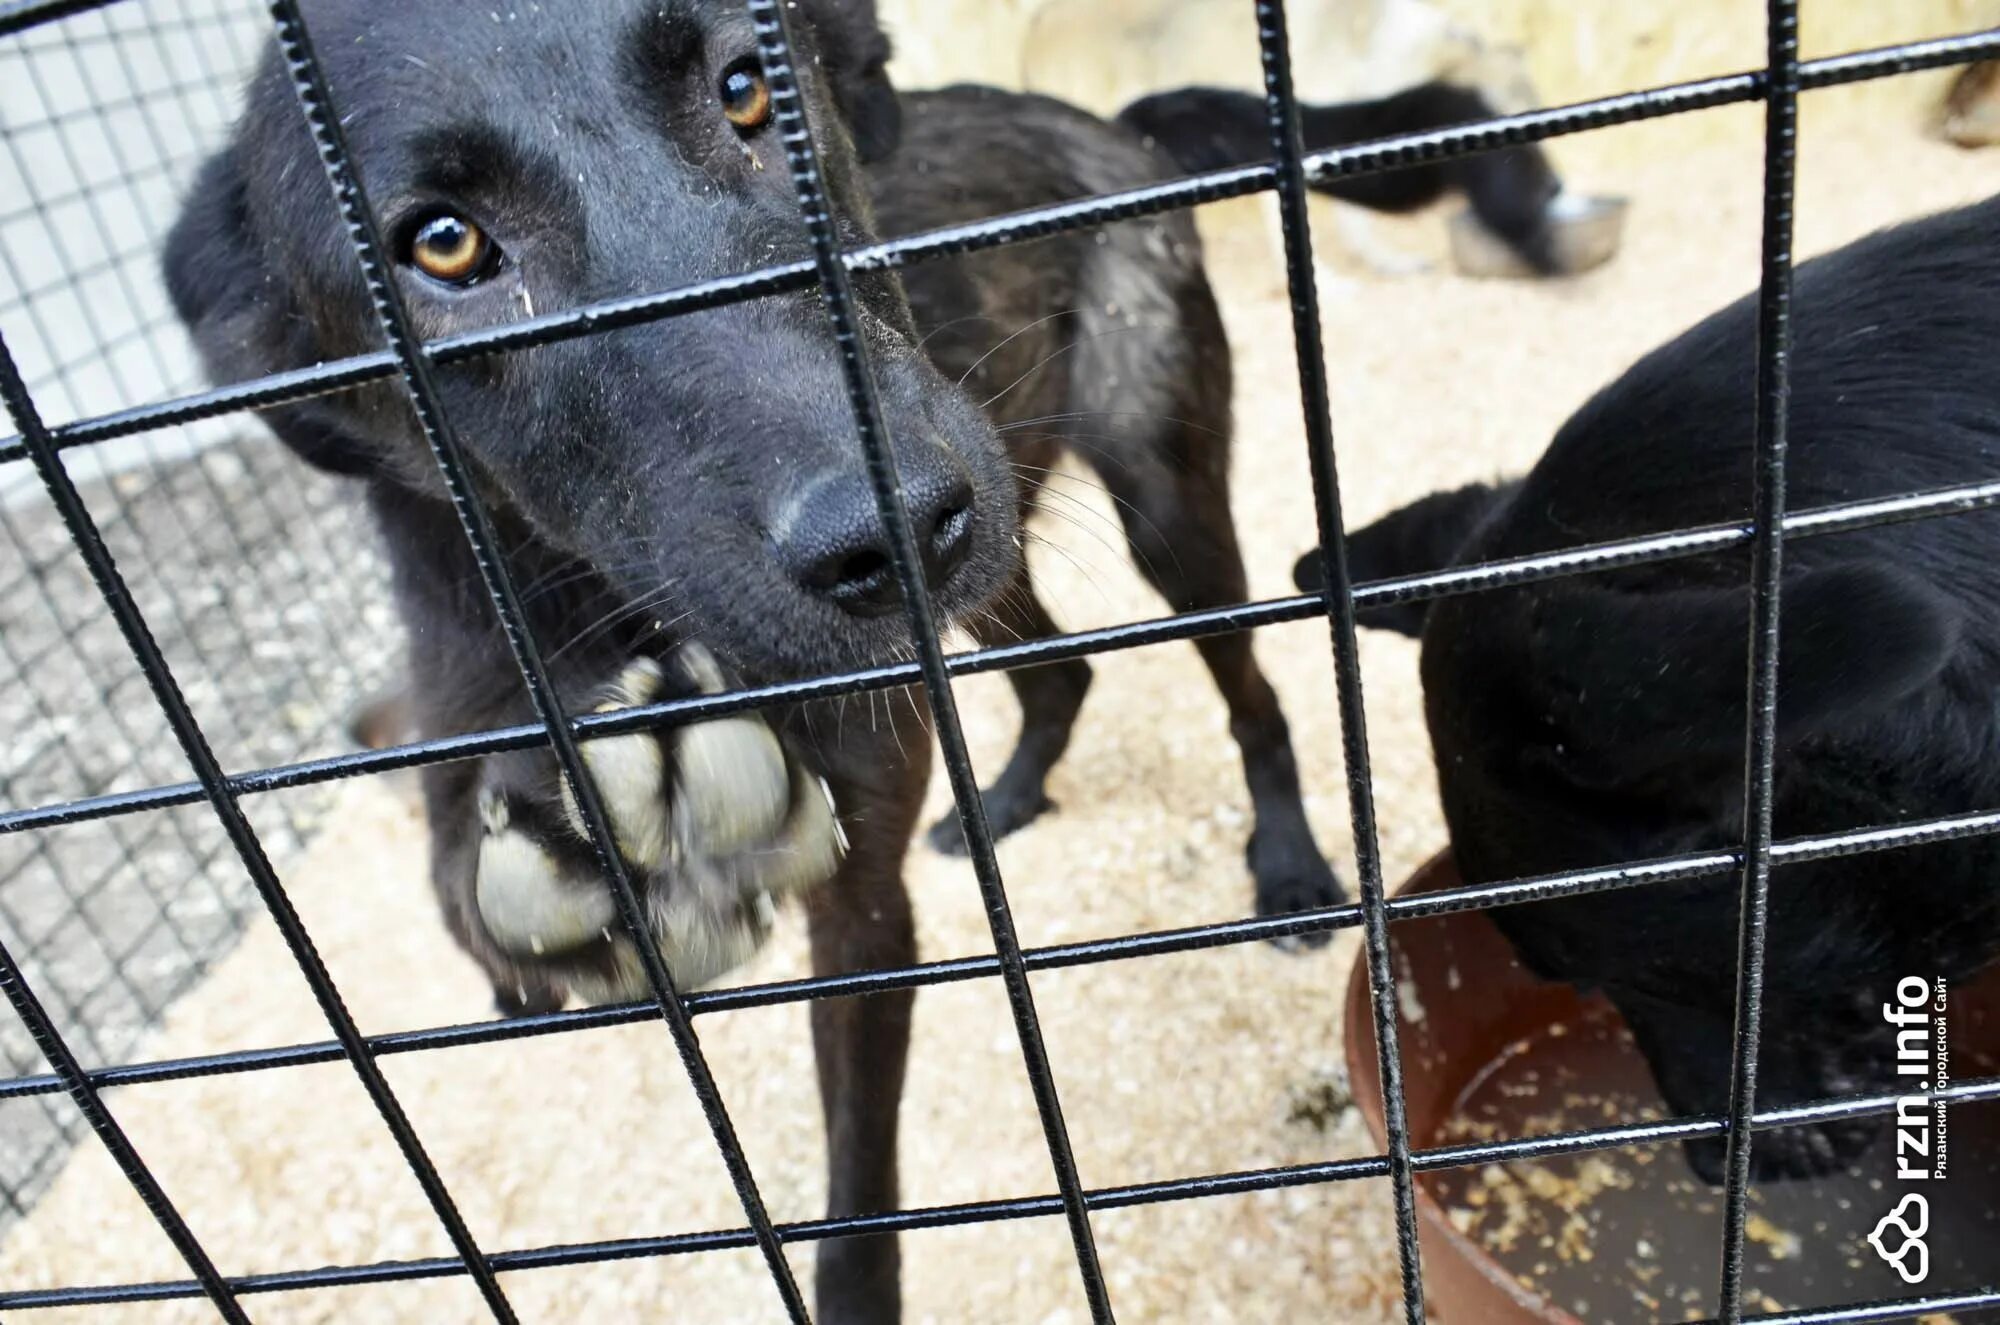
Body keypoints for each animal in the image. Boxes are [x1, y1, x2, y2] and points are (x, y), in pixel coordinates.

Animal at [160, 0, 1344, 1320]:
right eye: (446, 247)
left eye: (747, 88)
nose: (895, 521)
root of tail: (1096, 118)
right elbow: (478, 881)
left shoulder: (859, 901)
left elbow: (856, 1188)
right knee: (1056, 669)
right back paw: (1007, 795)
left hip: (1156, 505)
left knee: (1250, 692)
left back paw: (1287, 867)